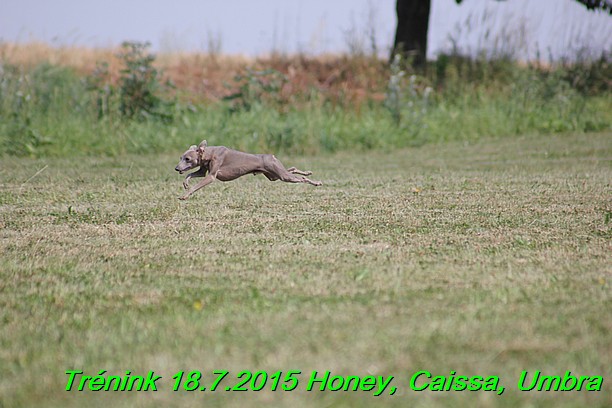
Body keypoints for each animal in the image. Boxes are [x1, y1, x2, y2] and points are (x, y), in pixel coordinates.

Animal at [175, 139, 322, 200]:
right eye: (181, 157)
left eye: (187, 158)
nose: (176, 168)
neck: (209, 153)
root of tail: (271, 156)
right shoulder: (202, 170)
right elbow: (191, 175)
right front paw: (185, 183)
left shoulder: (211, 175)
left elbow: (198, 185)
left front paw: (185, 195)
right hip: (274, 176)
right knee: (292, 168)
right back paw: (307, 172)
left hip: (281, 175)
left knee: (300, 178)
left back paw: (316, 182)